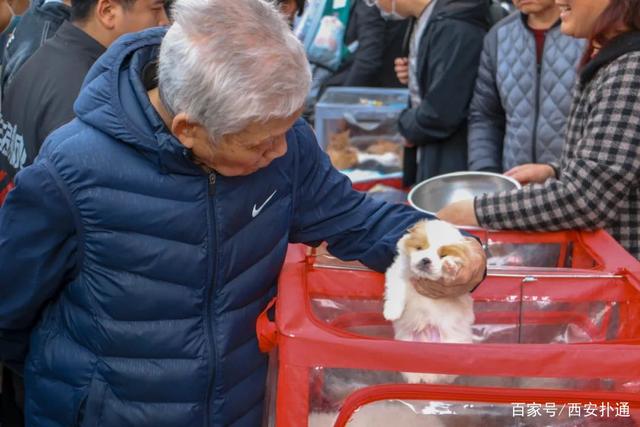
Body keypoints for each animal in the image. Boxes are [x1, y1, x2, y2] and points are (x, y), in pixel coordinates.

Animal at [382, 221, 472, 384]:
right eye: (420, 248)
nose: (426, 260)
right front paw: (392, 312)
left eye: (442, 255)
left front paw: (449, 265)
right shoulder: (398, 274)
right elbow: (396, 292)